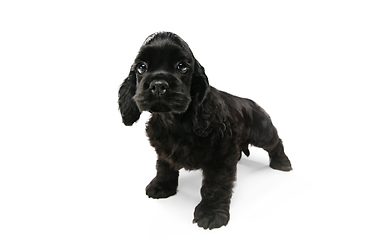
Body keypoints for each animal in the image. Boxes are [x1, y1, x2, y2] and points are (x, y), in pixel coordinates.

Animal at [117, 31, 292, 229]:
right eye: (141, 67)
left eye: (182, 66)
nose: (159, 85)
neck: (175, 121)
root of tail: (251, 102)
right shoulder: (163, 149)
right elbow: (164, 167)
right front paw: (162, 186)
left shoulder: (221, 156)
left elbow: (215, 185)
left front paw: (211, 213)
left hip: (262, 130)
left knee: (276, 142)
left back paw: (282, 162)